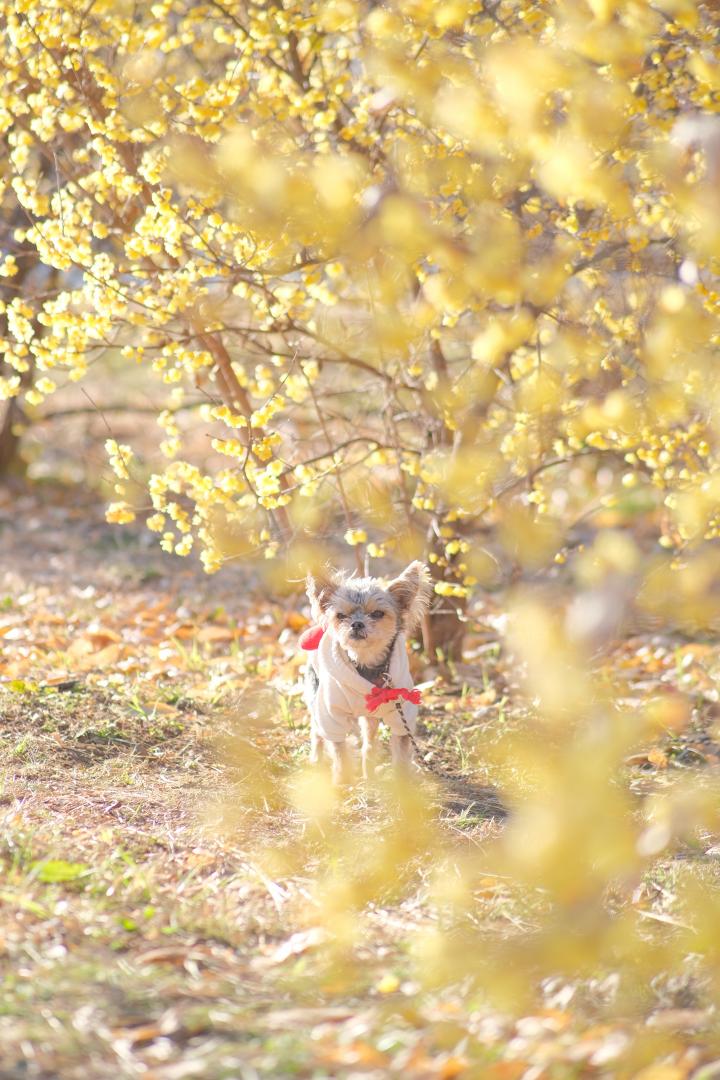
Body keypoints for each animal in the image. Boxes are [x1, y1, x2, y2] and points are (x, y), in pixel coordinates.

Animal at [302, 561, 431, 781]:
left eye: (377, 614)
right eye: (341, 616)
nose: (356, 623)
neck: (366, 663)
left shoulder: (401, 714)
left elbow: (401, 750)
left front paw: (401, 782)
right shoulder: (331, 715)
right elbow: (339, 750)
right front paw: (342, 780)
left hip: (370, 715)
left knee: (369, 739)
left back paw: (368, 768)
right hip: (315, 695)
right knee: (317, 732)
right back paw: (316, 761)